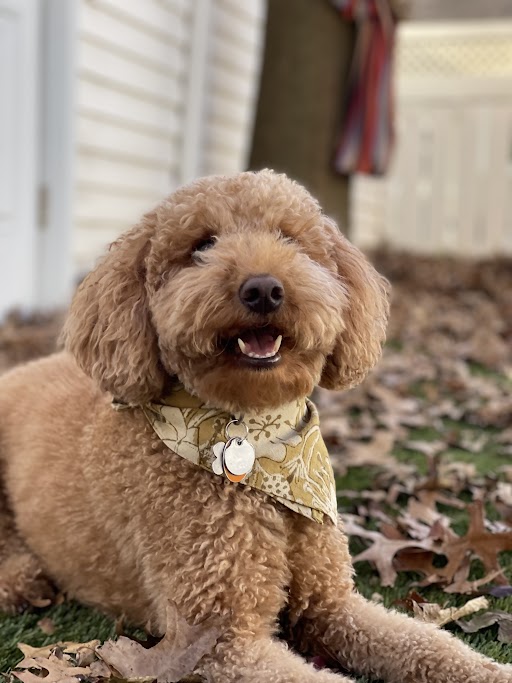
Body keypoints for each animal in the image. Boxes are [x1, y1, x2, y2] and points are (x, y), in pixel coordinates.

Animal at [1, 167, 512, 683]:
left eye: (289, 238)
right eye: (202, 245)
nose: (263, 289)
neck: (260, 441)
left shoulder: (332, 603)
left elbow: (426, 642)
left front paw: (489, 670)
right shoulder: (221, 641)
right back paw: (22, 579)